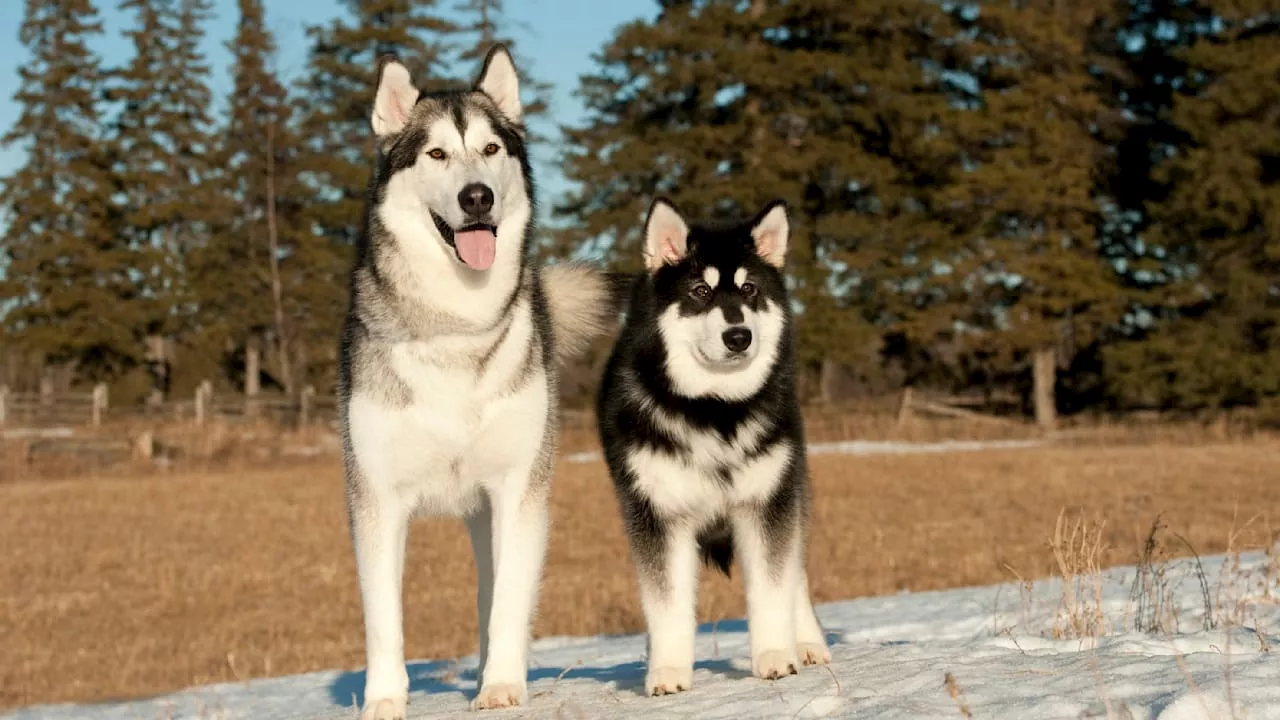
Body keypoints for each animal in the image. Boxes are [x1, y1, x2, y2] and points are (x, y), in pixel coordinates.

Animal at [337, 46, 622, 717]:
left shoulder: (518, 490)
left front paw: (501, 687)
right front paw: (383, 701)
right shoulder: (376, 499)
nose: (476, 198)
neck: (456, 327)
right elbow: (383, 618)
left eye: (491, 148)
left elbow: (509, 603)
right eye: (437, 154)